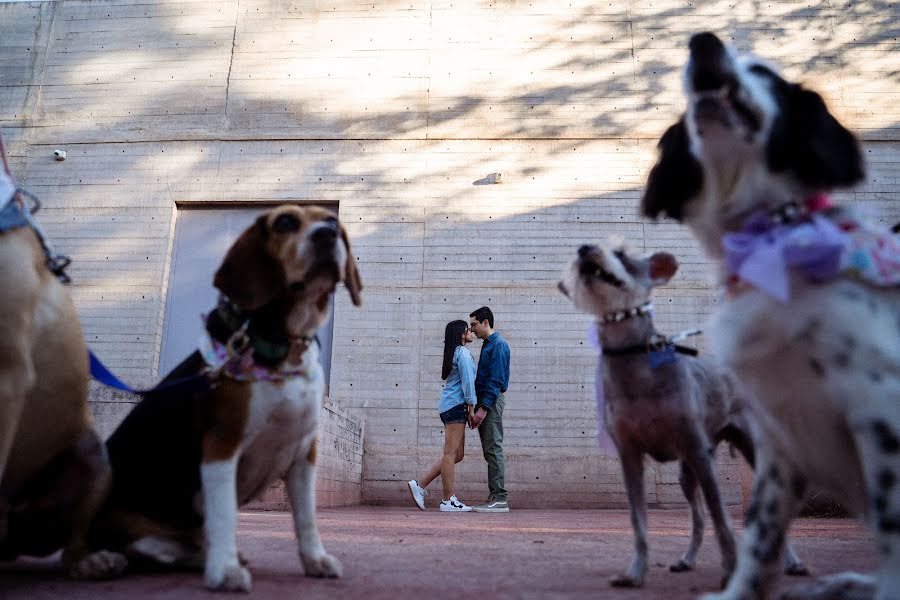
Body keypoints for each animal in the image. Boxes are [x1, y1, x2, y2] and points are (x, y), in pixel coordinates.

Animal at [560, 241, 804, 588]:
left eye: (621, 253)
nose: (585, 248)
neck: (634, 362)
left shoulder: (699, 451)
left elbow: (720, 515)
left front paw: (731, 569)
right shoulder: (630, 456)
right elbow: (639, 519)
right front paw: (635, 572)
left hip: (746, 450)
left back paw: (791, 561)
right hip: (685, 473)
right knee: (697, 516)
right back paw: (686, 560)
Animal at [644, 31, 896, 600]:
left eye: (762, 71)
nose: (702, 41)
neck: (771, 236)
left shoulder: (878, 412)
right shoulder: (778, 440)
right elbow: (760, 539)